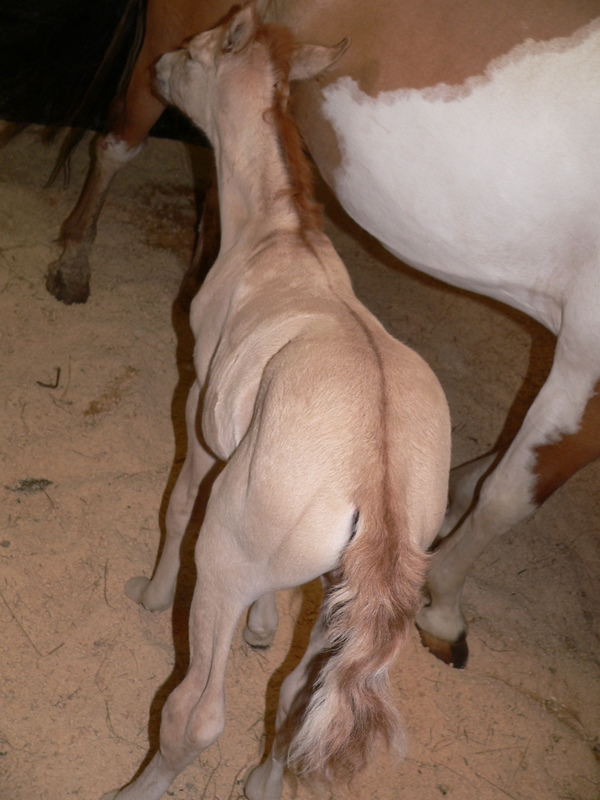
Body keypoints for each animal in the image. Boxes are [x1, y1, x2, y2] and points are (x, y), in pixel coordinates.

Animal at [101, 7, 450, 800]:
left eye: (196, 53)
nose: (157, 68)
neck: (278, 239)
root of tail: (380, 483)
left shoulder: (201, 414)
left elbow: (176, 506)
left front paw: (150, 593)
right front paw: (264, 624)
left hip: (225, 559)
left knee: (198, 714)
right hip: (342, 605)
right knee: (299, 695)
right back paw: (262, 781)